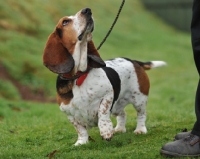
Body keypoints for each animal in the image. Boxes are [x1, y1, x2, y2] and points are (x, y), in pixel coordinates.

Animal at [43, 8, 166, 145]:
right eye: (65, 22)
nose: (87, 10)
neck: (78, 76)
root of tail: (134, 61)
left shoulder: (108, 95)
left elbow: (102, 112)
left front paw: (106, 130)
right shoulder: (68, 113)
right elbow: (80, 129)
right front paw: (81, 142)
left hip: (139, 99)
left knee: (141, 114)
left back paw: (140, 130)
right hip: (117, 106)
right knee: (123, 114)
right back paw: (120, 129)